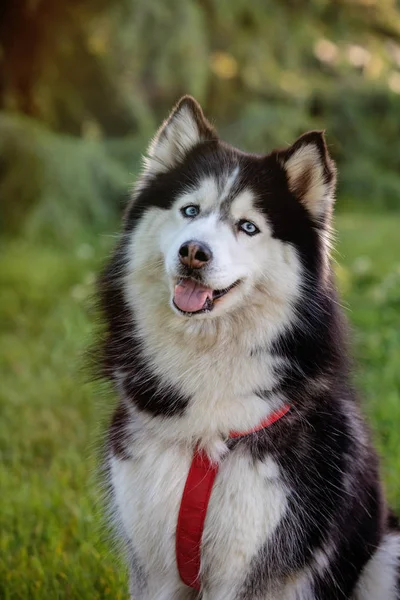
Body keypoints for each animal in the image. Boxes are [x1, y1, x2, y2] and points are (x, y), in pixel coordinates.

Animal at [97, 96, 400, 596]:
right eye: (190, 211)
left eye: (248, 226)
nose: (193, 252)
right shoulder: (155, 565)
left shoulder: (251, 564)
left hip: (387, 553)